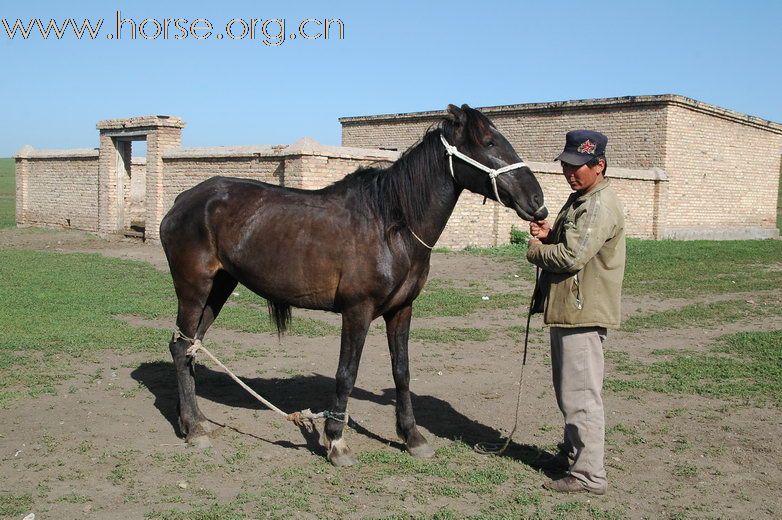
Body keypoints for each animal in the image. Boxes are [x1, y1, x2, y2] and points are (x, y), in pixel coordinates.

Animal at [162, 103, 548, 466]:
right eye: (489, 142)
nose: (538, 203)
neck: (391, 224)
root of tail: (183, 200)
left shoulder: (401, 310)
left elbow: (402, 371)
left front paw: (412, 437)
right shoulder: (357, 312)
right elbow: (346, 373)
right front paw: (336, 441)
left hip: (219, 288)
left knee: (191, 347)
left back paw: (194, 419)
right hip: (194, 288)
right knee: (181, 347)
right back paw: (194, 429)